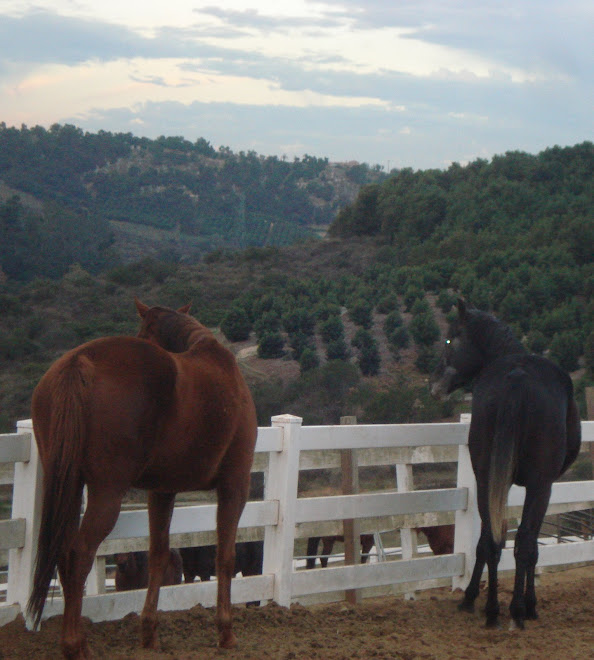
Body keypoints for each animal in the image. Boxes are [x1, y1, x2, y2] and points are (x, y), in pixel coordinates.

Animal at [26, 302, 256, 656]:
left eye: (143, 331)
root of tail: (79, 362)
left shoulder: (162, 491)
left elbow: (159, 555)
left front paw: (149, 633)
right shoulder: (235, 486)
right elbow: (225, 557)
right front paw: (226, 632)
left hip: (71, 486)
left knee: (64, 553)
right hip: (107, 493)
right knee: (79, 554)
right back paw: (75, 645)